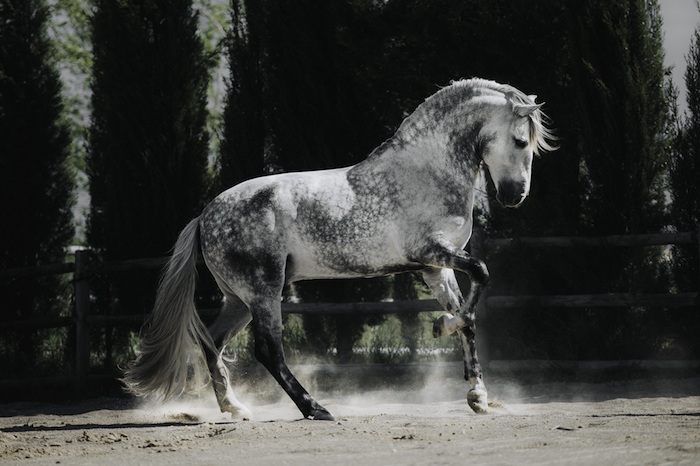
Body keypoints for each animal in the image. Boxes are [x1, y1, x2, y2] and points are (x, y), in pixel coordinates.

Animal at [123, 76, 556, 418]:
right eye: (520, 140)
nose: (514, 196)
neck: (427, 172)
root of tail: (205, 217)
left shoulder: (437, 267)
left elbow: (469, 317)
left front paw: (477, 395)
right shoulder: (429, 253)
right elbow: (481, 276)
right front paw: (441, 326)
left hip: (239, 299)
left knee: (212, 341)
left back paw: (236, 408)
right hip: (263, 292)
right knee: (267, 350)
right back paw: (316, 409)